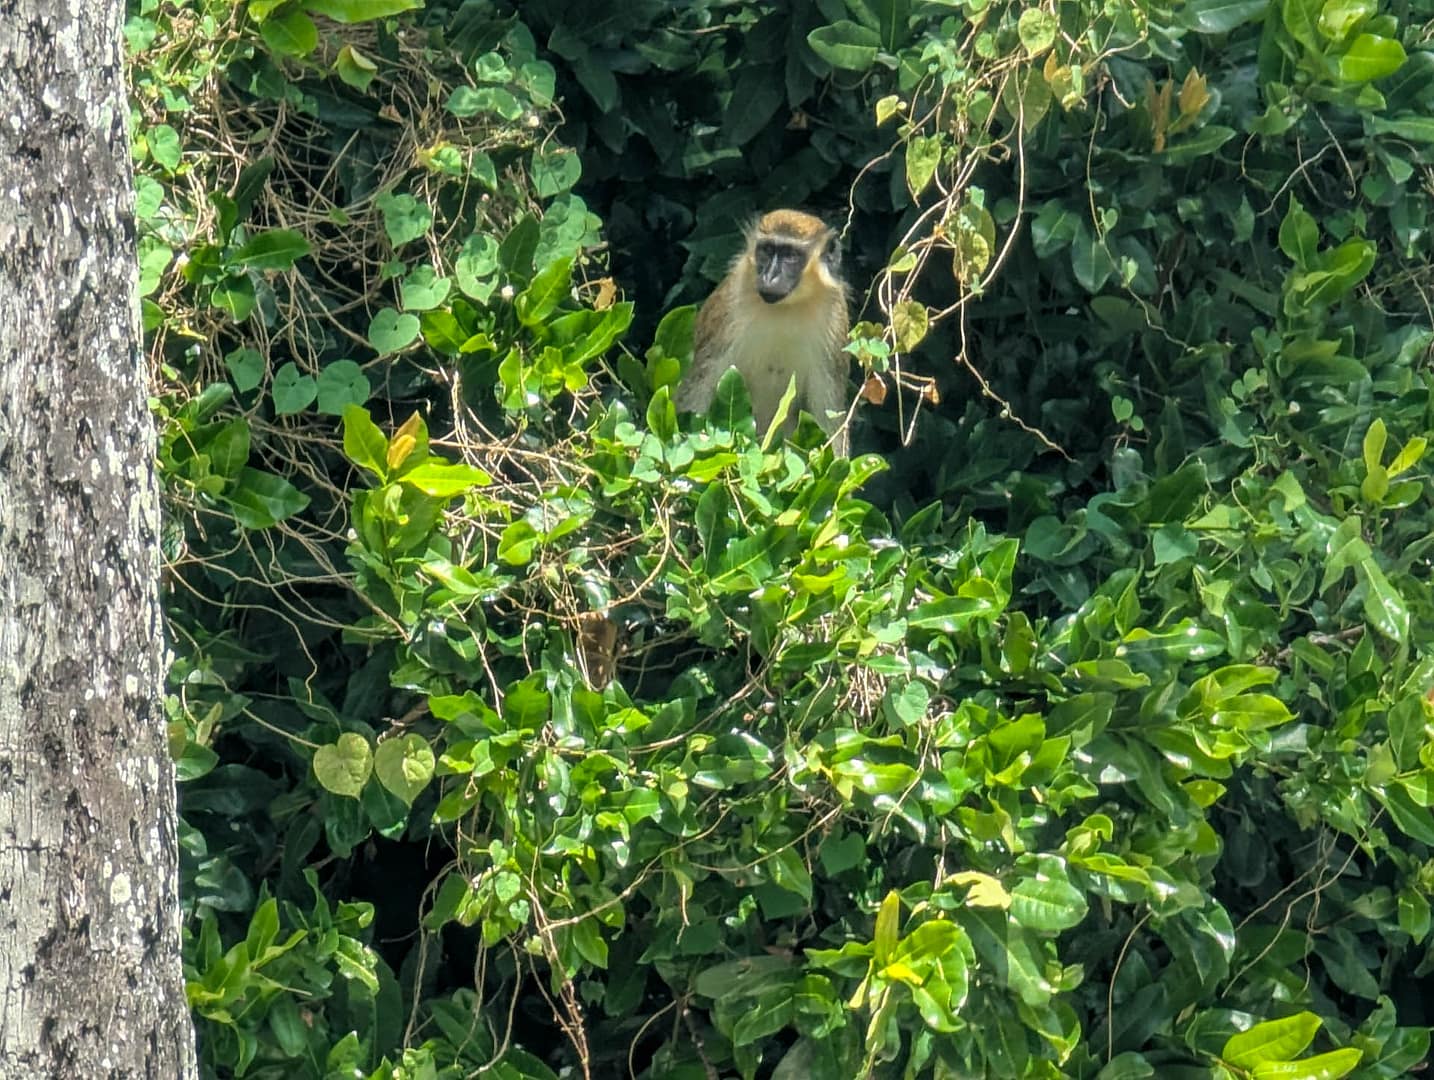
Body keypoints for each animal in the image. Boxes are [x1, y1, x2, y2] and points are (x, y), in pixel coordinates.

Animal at [676, 209, 851, 455]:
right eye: (767, 250)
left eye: (790, 255)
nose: (770, 277)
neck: (785, 307)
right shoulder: (726, 310)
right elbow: (698, 391)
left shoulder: (835, 321)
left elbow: (828, 416)